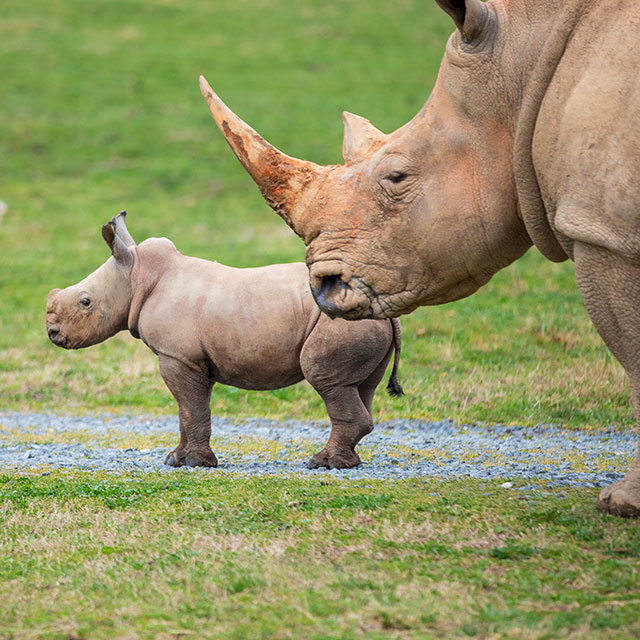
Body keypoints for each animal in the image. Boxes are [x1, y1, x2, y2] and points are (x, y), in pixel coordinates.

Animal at [45, 213, 403, 470]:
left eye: (85, 302)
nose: (52, 334)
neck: (137, 276)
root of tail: (383, 310)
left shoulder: (177, 357)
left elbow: (191, 409)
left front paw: (194, 463)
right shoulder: (191, 360)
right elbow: (187, 410)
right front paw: (176, 460)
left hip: (340, 323)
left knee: (326, 380)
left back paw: (323, 464)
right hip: (362, 323)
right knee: (360, 387)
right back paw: (345, 462)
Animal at [198, 0, 640, 516]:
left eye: (397, 177)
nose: (323, 287)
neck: (523, 70)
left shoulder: (604, 233)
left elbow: (631, 352)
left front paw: (621, 503)